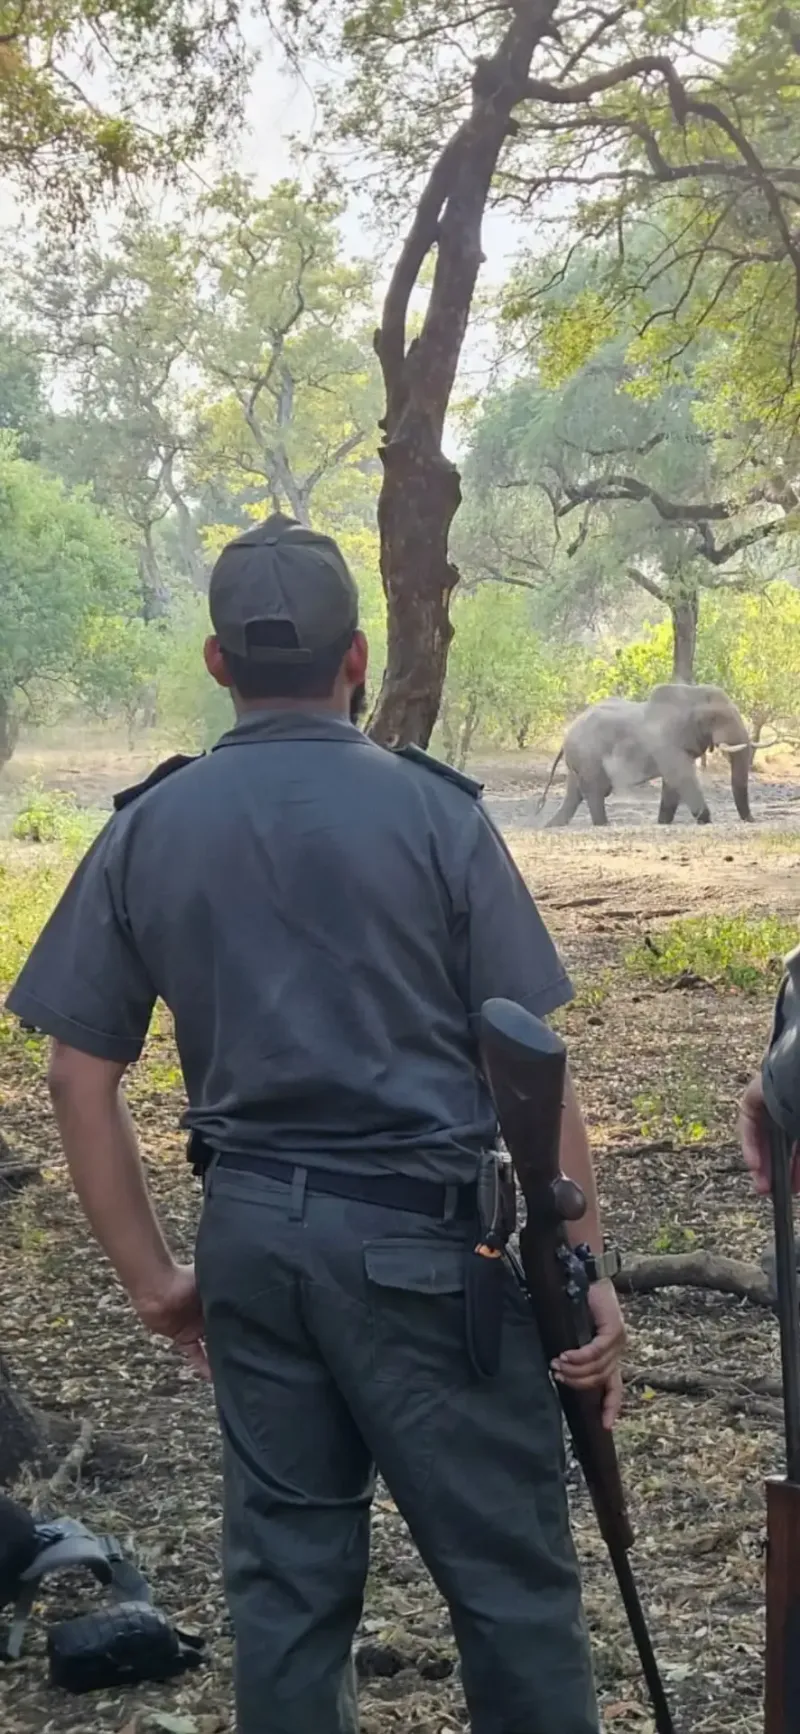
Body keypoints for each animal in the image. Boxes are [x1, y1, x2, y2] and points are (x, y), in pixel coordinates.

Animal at [541, 683, 753, 828]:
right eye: (718, 718)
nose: (751, 820)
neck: (693, 693)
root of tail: (566, 737)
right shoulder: (666, 742)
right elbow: (681, 777)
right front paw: (706, 820)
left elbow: (672, 784)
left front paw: (663, 822)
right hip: (588, 757)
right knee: (595, 791)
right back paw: (603, 825)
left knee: (575, 794)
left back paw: (552, 825)